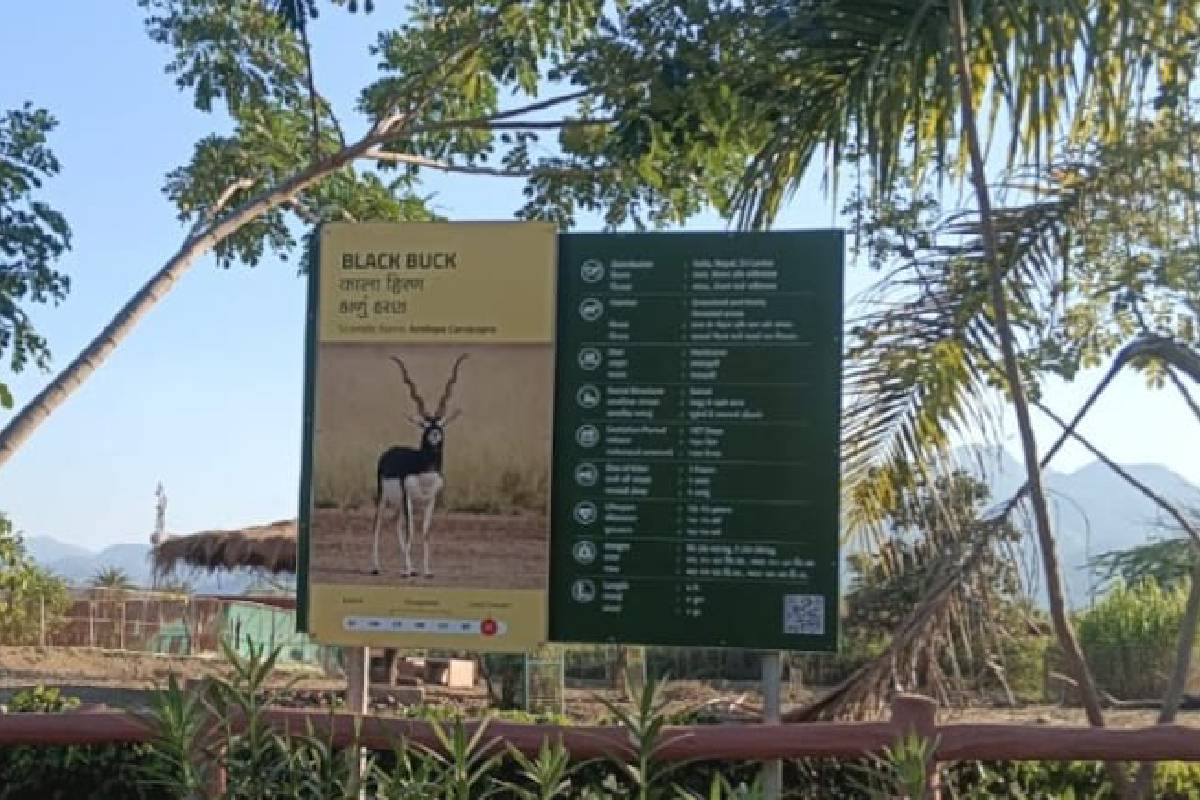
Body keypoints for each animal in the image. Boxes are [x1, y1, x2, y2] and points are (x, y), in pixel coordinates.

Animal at [369, 352, 468, 578]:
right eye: (424, 425)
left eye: (441, 424)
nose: (435, 434)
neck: (425, 472)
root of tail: (390, 450)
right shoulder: (408, 497)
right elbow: (411, 532)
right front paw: (406, 571)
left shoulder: (430, 500)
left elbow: (425, 532)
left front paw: (426, 571)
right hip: (384, 497)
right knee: (378, 524)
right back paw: (377, 567)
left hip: (398, 504)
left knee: (395, 523)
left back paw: (411, 568)